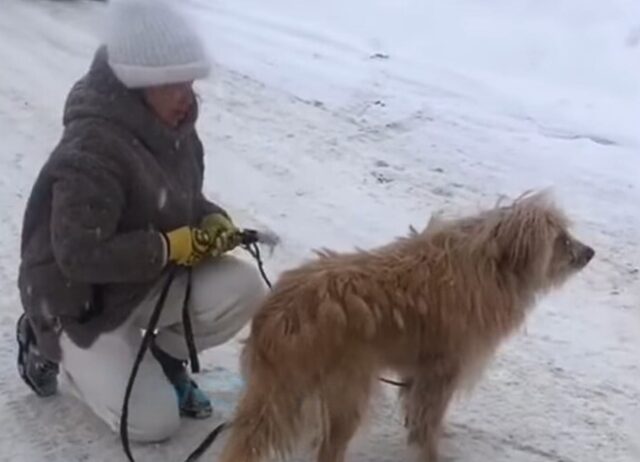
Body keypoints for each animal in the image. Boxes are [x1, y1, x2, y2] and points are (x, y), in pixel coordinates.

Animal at [216, 191, 596, 462]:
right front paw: (431, 453)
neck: (493, 265)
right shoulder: (441, 371)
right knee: (327, 451)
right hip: (347, 392)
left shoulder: (421, 374)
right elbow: (428, 422)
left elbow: (421, 416)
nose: (590, 252)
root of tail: (280, 313)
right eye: (561, 239)